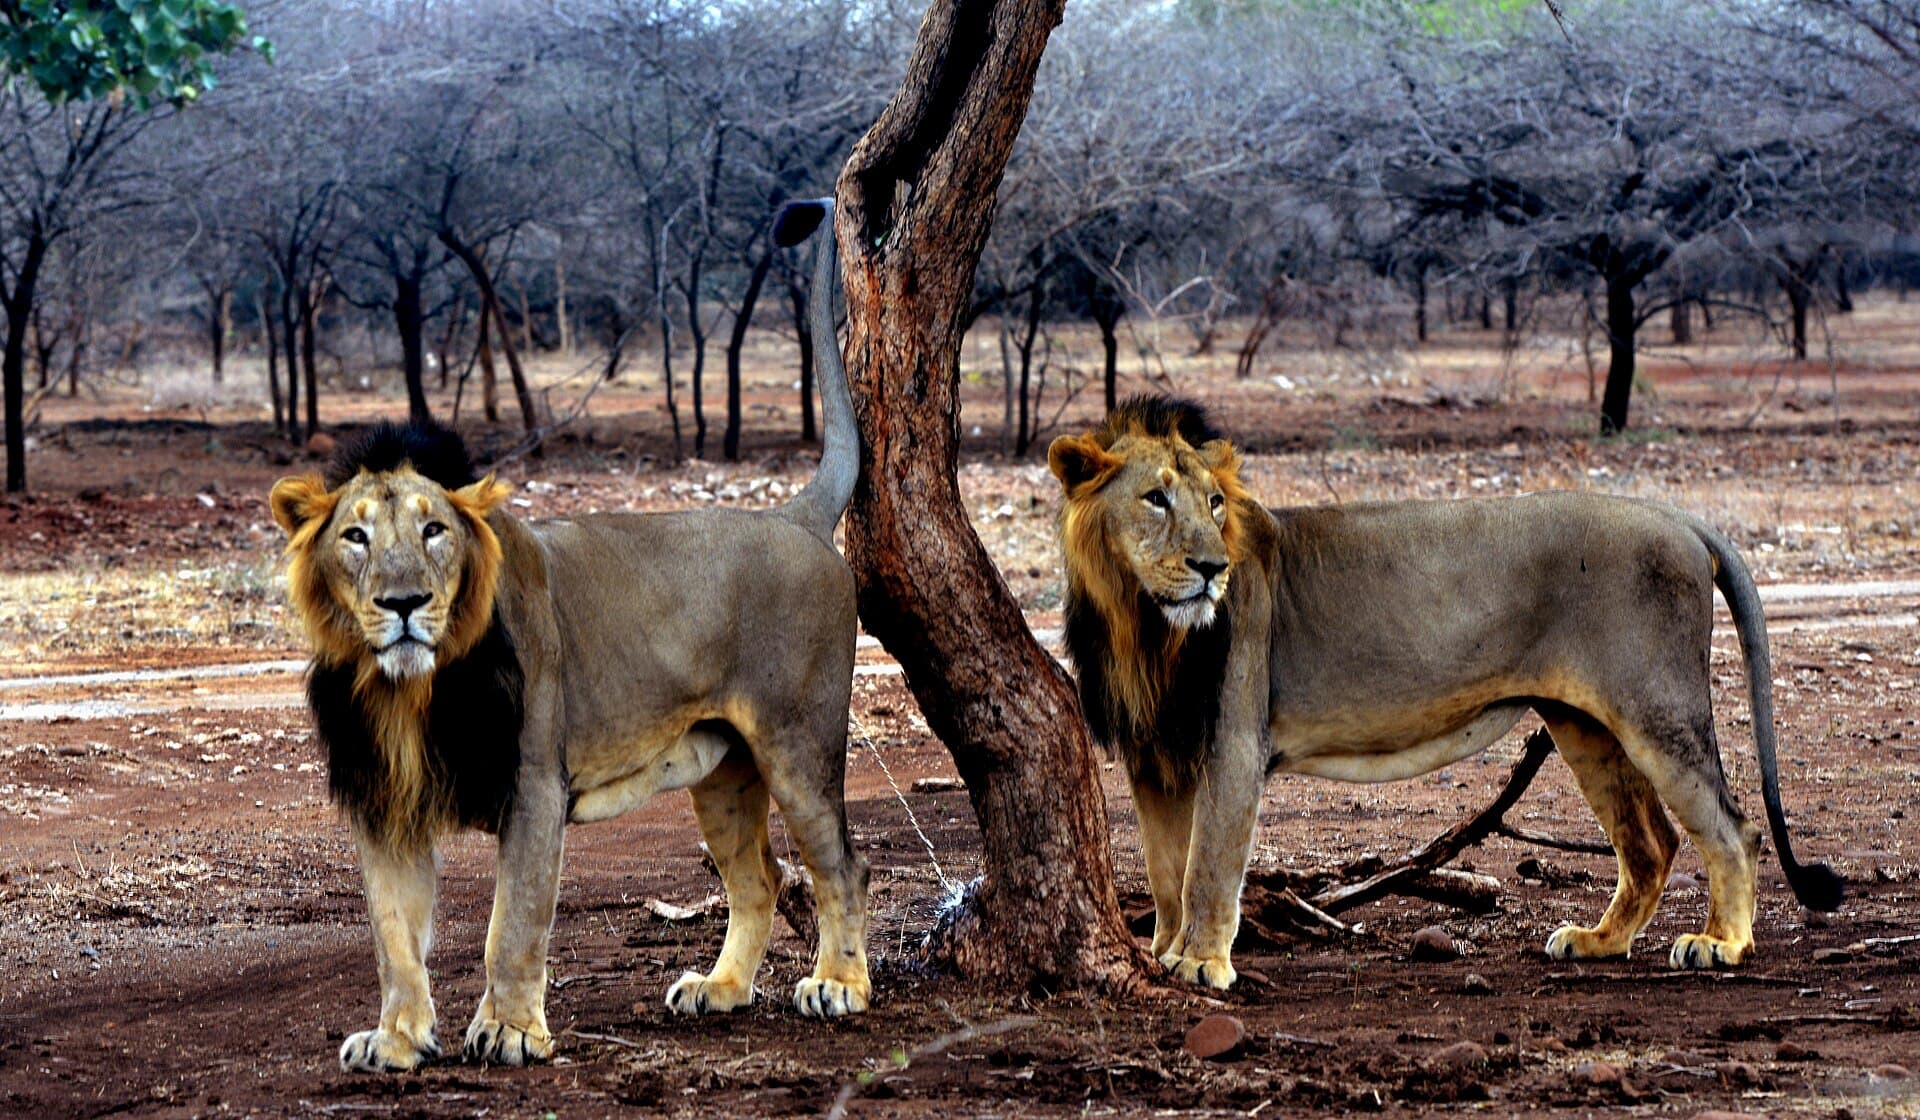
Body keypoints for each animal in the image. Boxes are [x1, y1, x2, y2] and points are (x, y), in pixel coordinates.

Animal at [269, 199, 868, 1073]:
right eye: (355, 536)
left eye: (435, 530)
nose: (405, 601)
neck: (412, 688)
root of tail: (794, 516)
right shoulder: (385, 802)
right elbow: (393, 937)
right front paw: (398, 1039)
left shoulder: (533, 785)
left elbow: (511, 926)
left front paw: (512, 1031)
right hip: (724, 771)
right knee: (757, 880)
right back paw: (721, 989)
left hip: (798, 744)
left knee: (841, 866)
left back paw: (839, 986)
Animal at [1048, 395, 1843, 990]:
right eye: (1155, 498)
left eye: (1215, 503)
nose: (1213, 568)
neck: (1139, 624)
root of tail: (1678, 516)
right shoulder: (1154, 759)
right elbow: (1163, 869)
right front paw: (1160, 952)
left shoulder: (1235, 743)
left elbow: (1208, 866)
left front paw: (1199, 963)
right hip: (1584, 725)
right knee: (1651, 842)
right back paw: (1598, 941)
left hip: (1656, 707)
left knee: (1732, 827)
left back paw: (1721, 944)